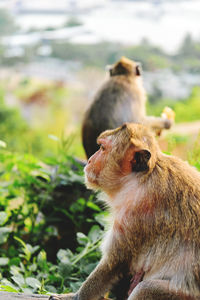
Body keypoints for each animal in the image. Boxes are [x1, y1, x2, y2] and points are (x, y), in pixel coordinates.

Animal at [50, 122, 200, 300]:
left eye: (102, 148)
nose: (90, 160)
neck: (142, 177)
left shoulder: (134, 213)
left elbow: (113, 265)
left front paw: (75, 296)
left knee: (144, 289)